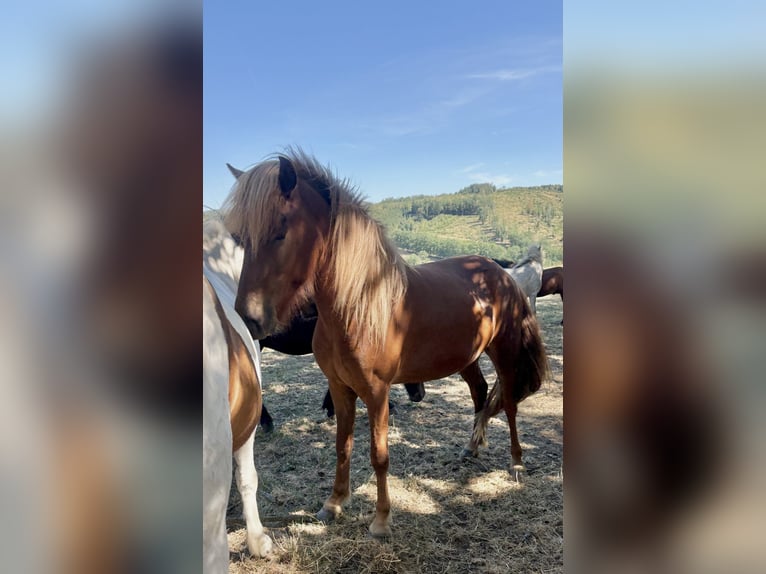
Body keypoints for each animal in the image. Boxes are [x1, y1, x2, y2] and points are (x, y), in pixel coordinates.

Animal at [223, 150, 548, 537]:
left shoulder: (377, 393)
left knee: (509, 403)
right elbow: (342, 446)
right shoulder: (340, 387)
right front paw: (334, 503)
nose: (249, 318)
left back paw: (516, 462)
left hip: (504, 349)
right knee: (480, 392)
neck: (358, 307)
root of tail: (502, 273)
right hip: (467, 356)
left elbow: (379, 455)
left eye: (280, 232)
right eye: (239, 238)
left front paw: (381, 520)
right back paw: (471, 447)